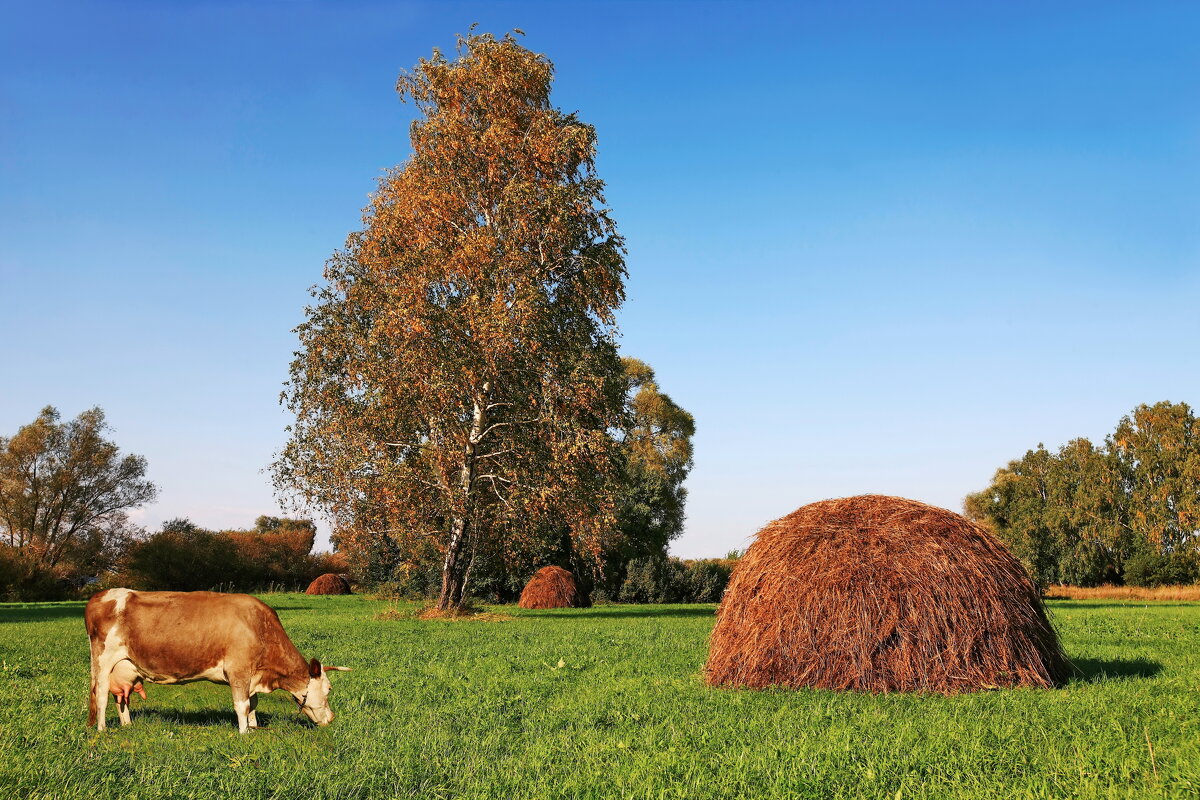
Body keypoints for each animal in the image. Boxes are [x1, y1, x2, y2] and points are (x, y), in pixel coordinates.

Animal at [83, 585, 348, 734]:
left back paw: (127, 726)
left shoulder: (251, 675)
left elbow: (253, 704)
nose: (332, 718)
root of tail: (101, 596)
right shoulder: (239, 670)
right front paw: (244, 733)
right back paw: (102, 729)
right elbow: (242, 705)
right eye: (329, 689)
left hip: (124, 667)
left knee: (121, 698)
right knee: (102, 694)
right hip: (103, 662)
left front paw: (254, 728)